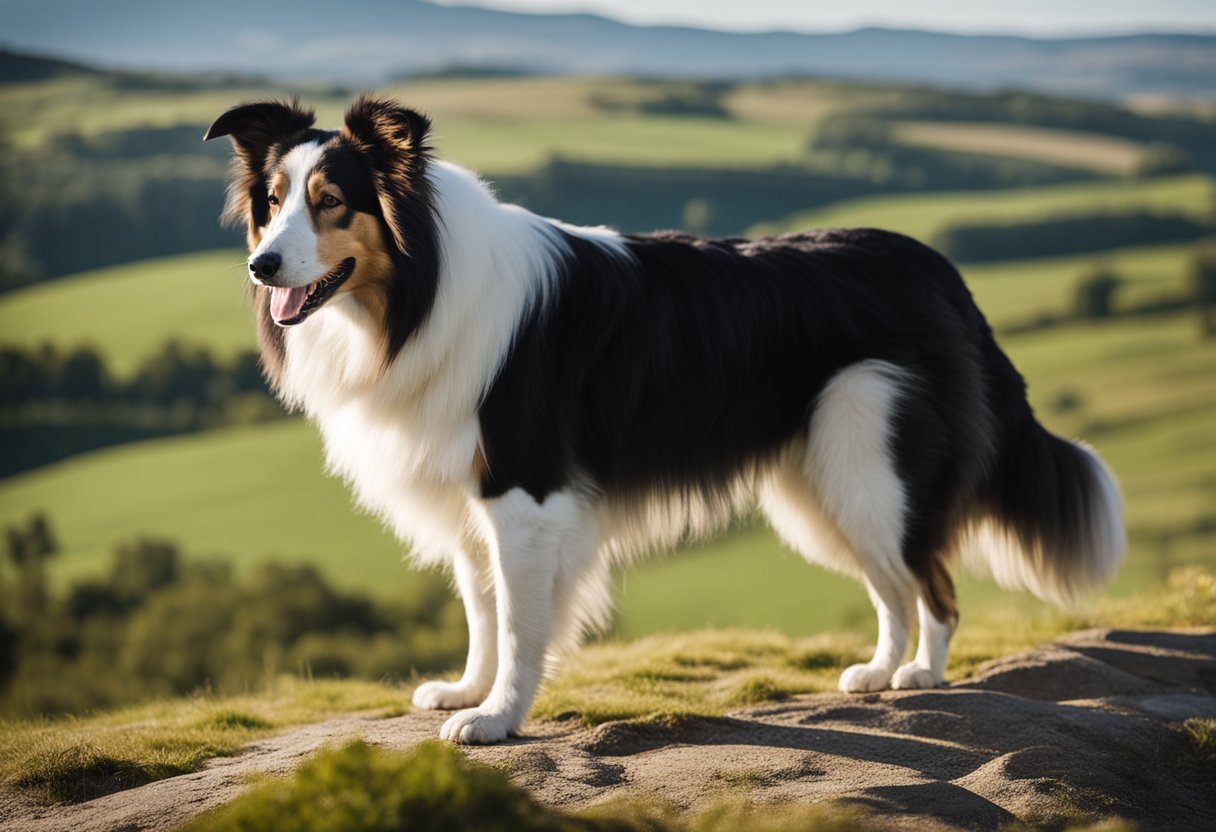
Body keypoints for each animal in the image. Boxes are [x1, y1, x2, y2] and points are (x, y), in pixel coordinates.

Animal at [204, 99, 1123, 749]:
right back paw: (877, 671)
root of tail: (938, 269)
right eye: (273, 202)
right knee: (893, 584)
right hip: (823, 485)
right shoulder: (468, 494)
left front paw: (497, 719)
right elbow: (483, 611)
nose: (259, 265)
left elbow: (523, 619)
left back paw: (922, 676)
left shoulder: (523, 492)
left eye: (332, 203)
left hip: (870, 463)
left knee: (932, 581)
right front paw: (468, 690)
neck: (415, 293)